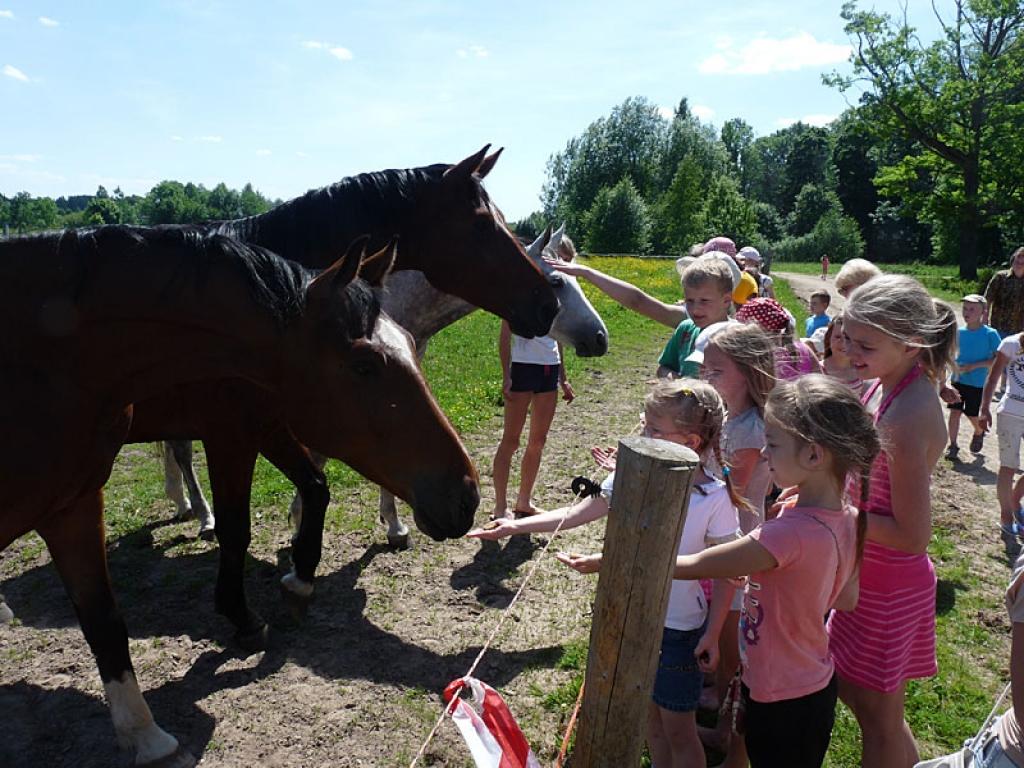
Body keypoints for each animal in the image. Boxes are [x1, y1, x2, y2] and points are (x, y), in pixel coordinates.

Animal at [0, 225, 477, 765]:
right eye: (363, 365)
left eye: (412, 345)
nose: (466, 495)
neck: (46, 360)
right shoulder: (230, 435)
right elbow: (237, 528)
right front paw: (243, 615)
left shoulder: (75, 503)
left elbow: (103, 618)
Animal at [131, 147, 565, 647]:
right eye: (480, 223)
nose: (547, 306)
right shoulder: (242, 426)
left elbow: (319, 481)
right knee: (181, 456)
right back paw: (201, 515)